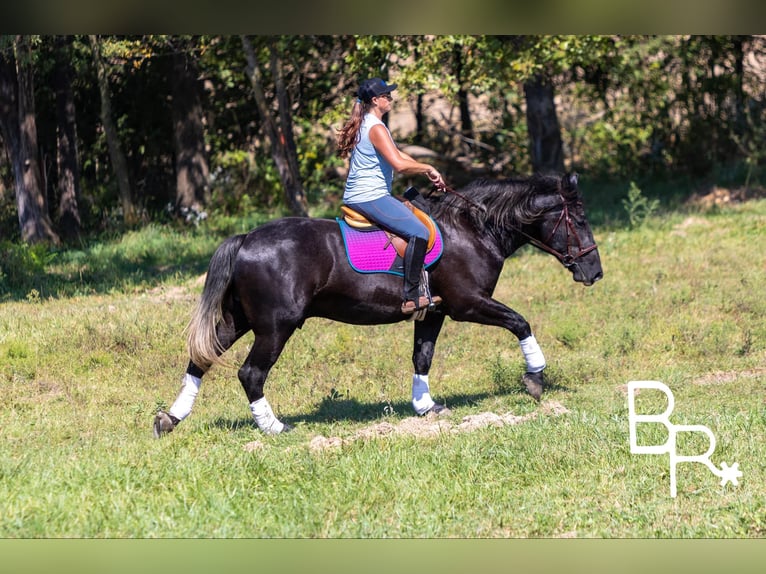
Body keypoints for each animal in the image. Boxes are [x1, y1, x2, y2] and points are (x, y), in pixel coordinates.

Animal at [153, 172, 603, 437]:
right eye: (580, 220)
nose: (595, 272)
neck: (473, 228)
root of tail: (246, 238)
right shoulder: (468, 304)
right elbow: (520, 323)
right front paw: (535, 379)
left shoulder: (434, 311)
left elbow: (422, 357)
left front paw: (425, 406)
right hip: (275, 326)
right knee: (251, 373)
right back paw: (274, 427)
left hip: (240, 319)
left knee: (201, 358)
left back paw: (169, 419)